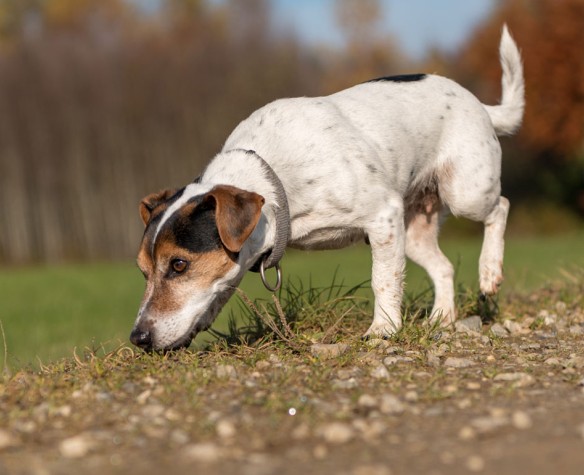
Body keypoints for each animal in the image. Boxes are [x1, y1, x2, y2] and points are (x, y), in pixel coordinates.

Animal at [131, 27, 524, 354]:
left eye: (179, 264)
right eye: (142, 271)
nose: (138, 338)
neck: (275, 181)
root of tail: (480, 105)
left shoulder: (382, 217)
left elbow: (383, 281)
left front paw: (383, 329)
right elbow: (219, 290)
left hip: (465, 192)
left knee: (501, 206)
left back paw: (489, 271)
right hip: (412, 231)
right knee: (444, 267)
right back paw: (442, 316)